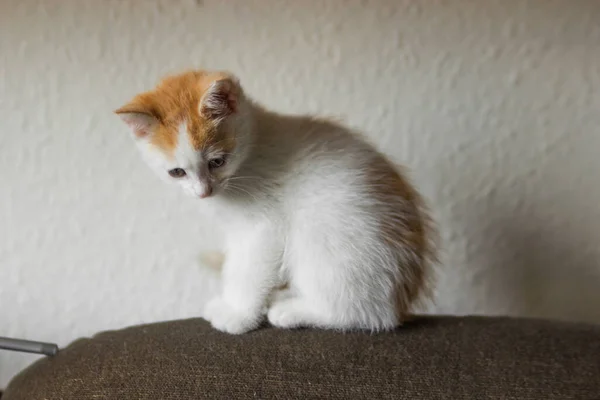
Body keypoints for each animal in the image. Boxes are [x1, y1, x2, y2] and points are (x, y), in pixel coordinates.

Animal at [116, 69, 436, 334]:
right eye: (177, 172)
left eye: (217, 162)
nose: (203, 191)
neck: (251, 152)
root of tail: (400, 302)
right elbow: (234, 264)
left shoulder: (264, 227)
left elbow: (248, 268)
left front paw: (238, 315)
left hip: (323, 240)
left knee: (365, 315)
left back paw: (294, 311)